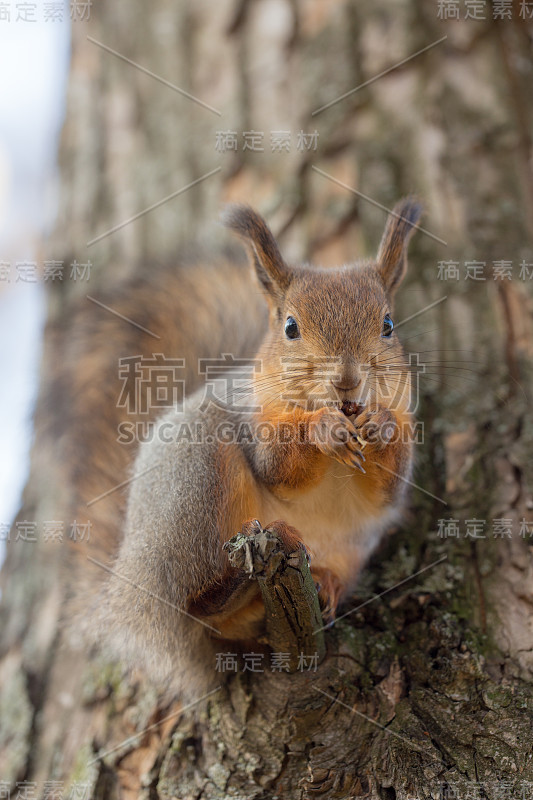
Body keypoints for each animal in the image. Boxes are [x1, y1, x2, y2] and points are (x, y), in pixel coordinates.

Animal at [53, 198, 420, 692]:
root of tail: (131, 583)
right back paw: (231, 588)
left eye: (388, 324)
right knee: (197, 606)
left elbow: (388, 489)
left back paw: (324, 581)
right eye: (290, 327)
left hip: (350, 545)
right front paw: (322, 429)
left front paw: (380, 424)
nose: (347, 382)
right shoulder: (253, 422)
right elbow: (277, 466)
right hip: (197, 484)